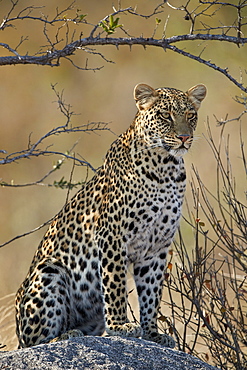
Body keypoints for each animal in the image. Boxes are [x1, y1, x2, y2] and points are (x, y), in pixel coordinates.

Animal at [15, 82, 206, 348]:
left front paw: (152, 333)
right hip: (48, 271)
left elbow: (151, 293)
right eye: (165, 115)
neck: (165, 168)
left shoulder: (157, 247)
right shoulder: (112, 236)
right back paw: (66, 335)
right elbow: (115, 284)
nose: (184, 138)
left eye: (191, 115)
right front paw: (119, 326)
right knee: (36, 342)